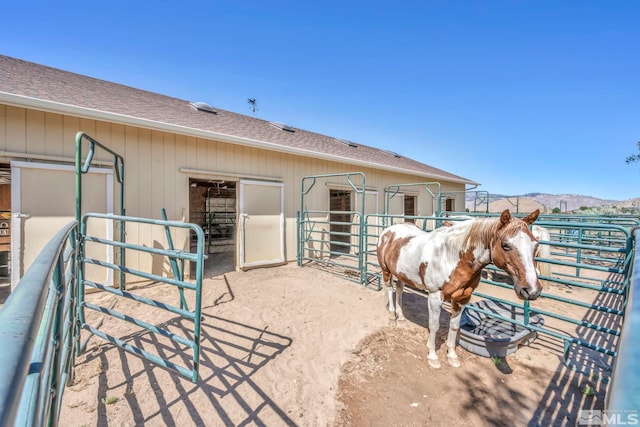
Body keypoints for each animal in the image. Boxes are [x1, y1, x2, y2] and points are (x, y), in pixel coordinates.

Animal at [378, 210, 544, 368]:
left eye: (536, 245)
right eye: (505, 245)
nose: (532, 290)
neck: (451, 257)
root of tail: (389, 230)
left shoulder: (462, 298)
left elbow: (454, 326)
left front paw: (452, 356)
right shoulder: (435, 297)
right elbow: (434, 325)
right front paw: (432, 356)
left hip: (402, 274)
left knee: (399, 290)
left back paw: (401, 317)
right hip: (386, 271)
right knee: (390, 289)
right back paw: (392, 315)